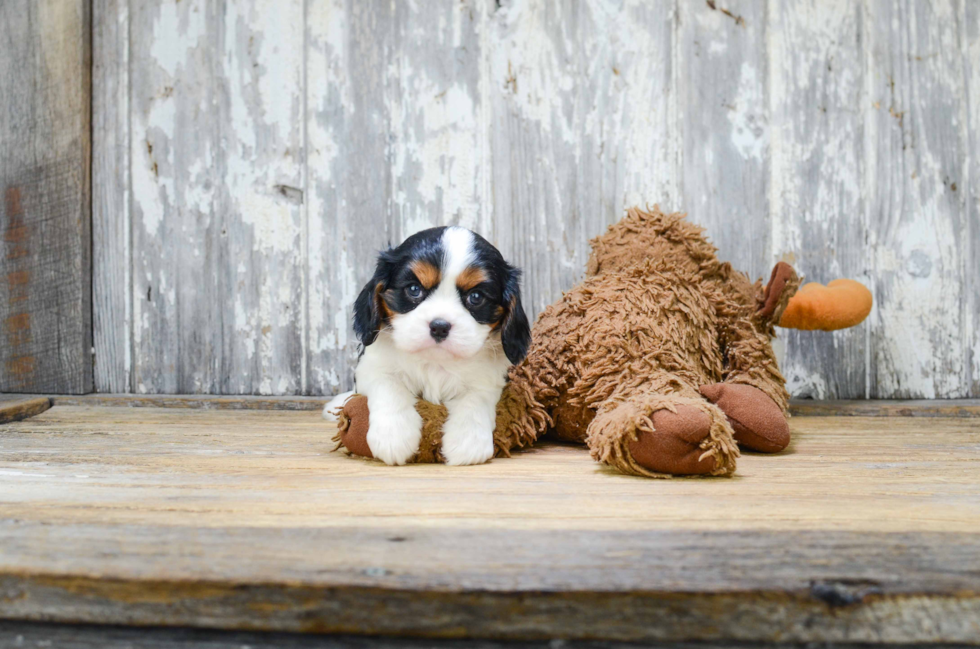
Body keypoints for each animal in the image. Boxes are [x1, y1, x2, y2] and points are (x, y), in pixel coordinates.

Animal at [324, 228, 528, 466]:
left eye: (476, 297)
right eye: (414, 289)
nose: (439, 326)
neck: (434, 361)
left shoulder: (487, 380)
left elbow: (475, 399)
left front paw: (468, 441)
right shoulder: (373, 367)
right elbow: (389, 386)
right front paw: (394, 435)